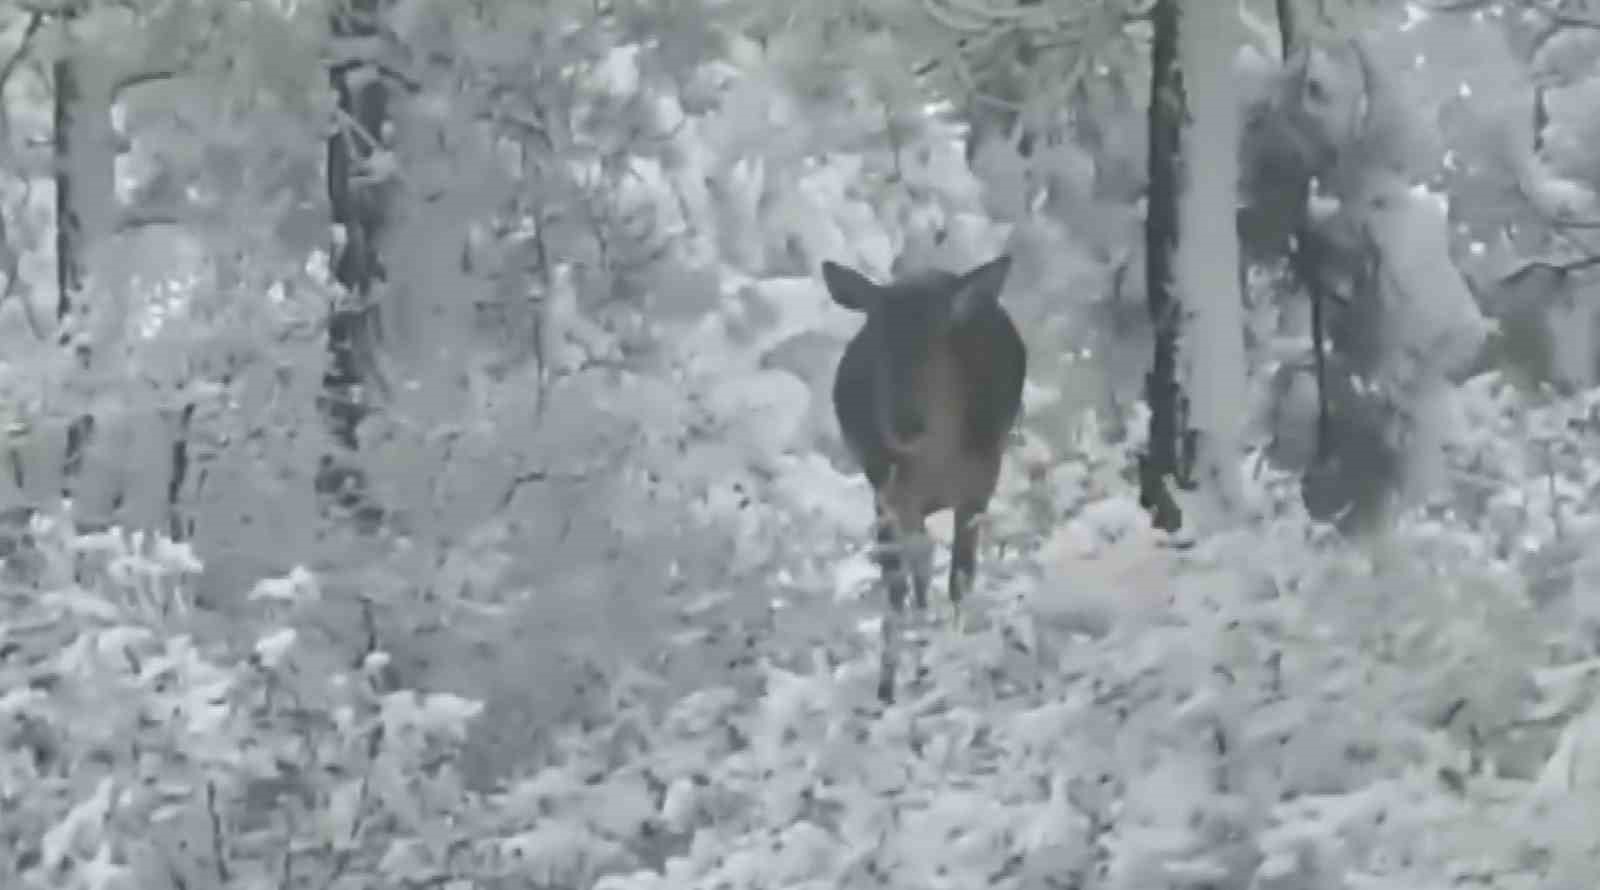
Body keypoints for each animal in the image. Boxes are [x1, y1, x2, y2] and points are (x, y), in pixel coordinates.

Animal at [819, 256, 1030, 701]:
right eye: (879, 344)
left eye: (939, 342)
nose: (906, 423)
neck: (937, 463)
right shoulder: (886, 490)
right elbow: (898, 586)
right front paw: (888, 688)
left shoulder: (980, 483)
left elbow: (960, 577)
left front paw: (955, 657)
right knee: (914, 571)